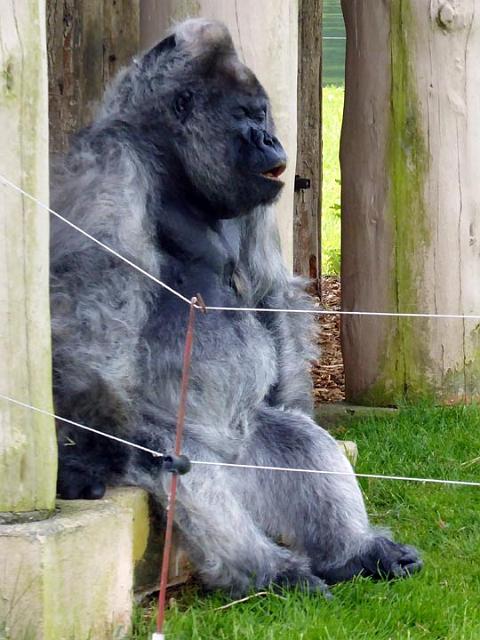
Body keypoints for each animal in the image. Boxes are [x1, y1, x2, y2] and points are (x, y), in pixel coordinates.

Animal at [50, 18, 422, 596]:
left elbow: (269, 290)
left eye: (262, 116)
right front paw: (88, 454)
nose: (270, 138)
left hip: (248, 437)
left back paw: (354, 552)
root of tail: (231, 453)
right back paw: (268, 570)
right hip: (187, 439)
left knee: (300, 442)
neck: (172, 160)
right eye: (246, 118)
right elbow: (95, 300)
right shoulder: (113, 161)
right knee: (190, 473)